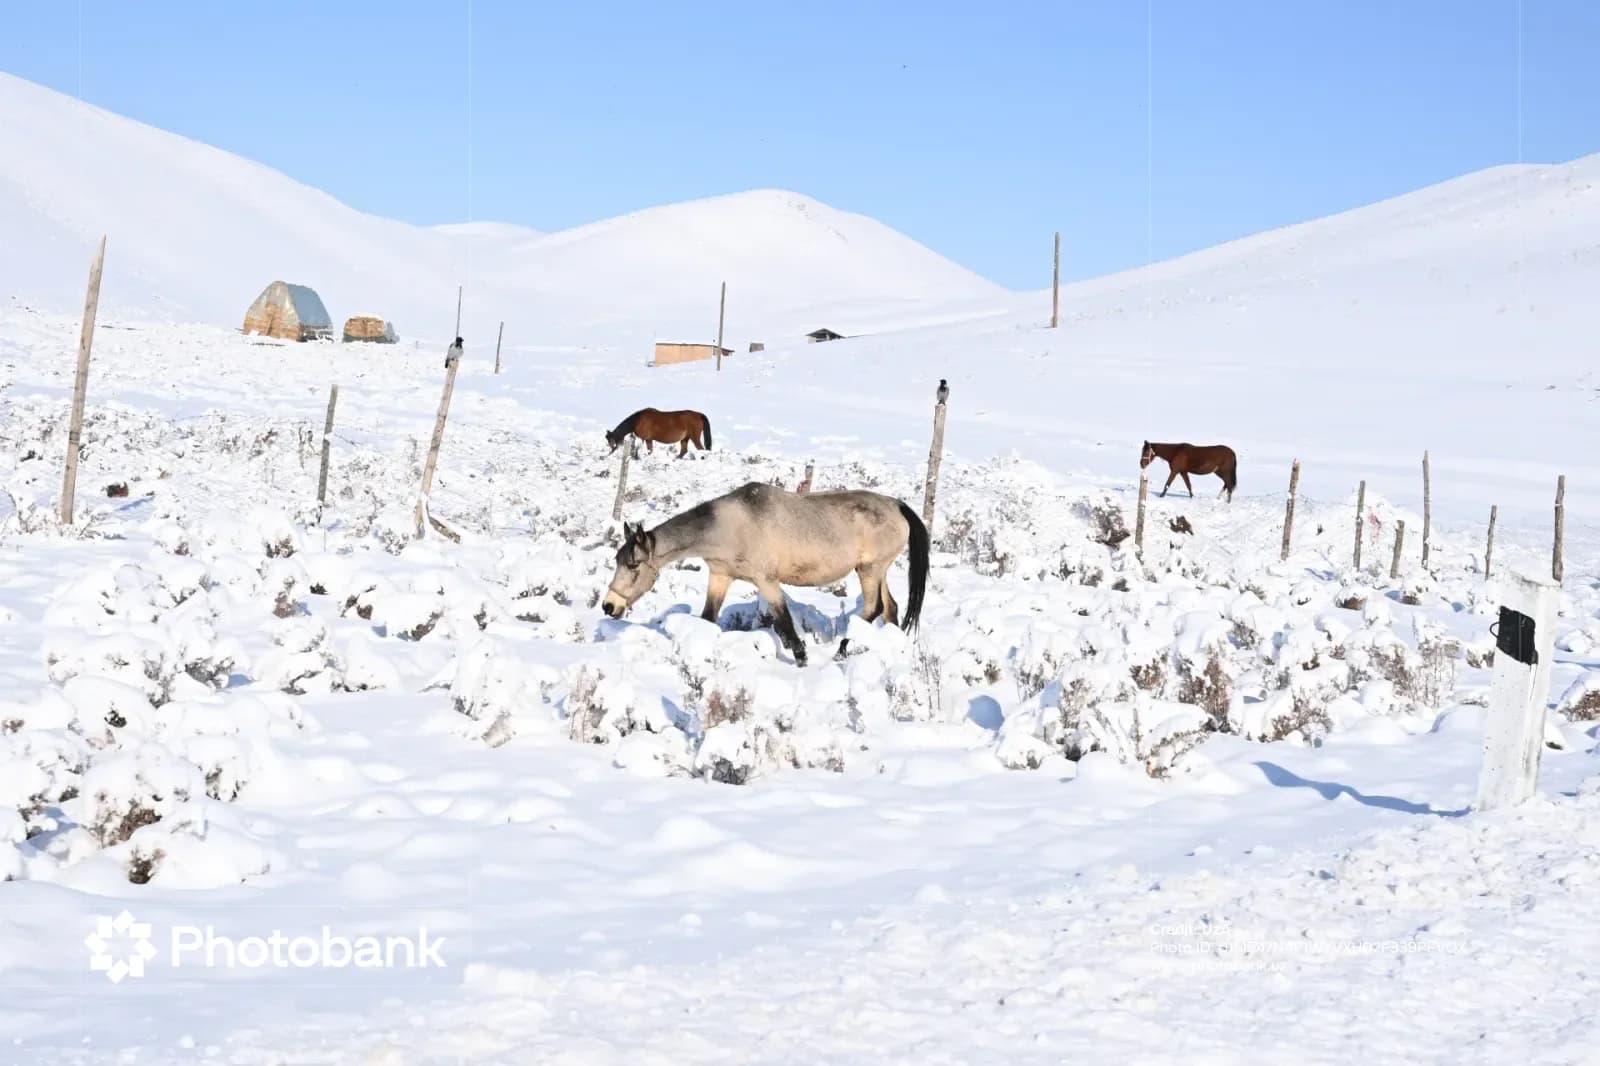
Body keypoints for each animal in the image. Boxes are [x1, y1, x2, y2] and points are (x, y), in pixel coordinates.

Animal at [601, 481, 929, 667]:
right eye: (617, 561)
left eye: (633, 565)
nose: (608, 606)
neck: (730, 527)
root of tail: (897, 506)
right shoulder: (720, 576)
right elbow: (708, 618)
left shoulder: (766, 581)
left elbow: (785, 623)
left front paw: (801, 660)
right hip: (877, 570)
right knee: (890, 608)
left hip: (870, 571)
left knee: (873, 607)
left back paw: (841, 650)